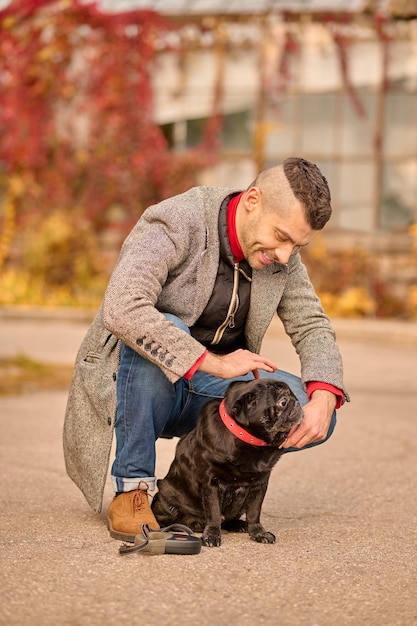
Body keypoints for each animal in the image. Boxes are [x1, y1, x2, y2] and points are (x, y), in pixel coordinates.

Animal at [151, 376, 300, 544]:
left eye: (293, 396)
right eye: (283, 402)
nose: (297, 402)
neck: (248, 442)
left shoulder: (259, 485)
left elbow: (254, 513)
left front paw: (258, 533)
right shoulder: (212, 484)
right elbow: (214, 512)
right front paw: (212, 535)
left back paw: (237, 524)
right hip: (166, 498)